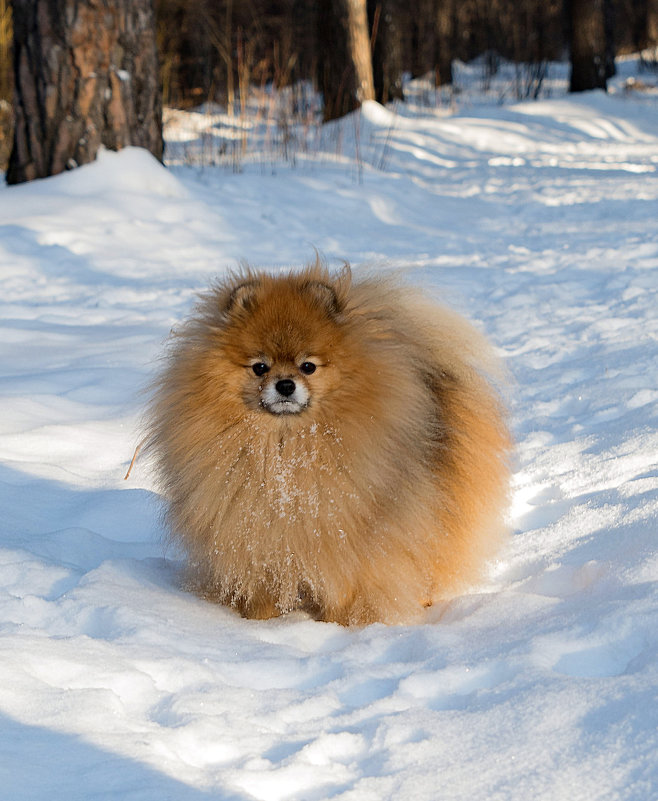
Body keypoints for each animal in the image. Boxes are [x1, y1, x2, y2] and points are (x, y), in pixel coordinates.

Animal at [146, 262, 510, 624]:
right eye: (259, 367)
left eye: (308, 366)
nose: (285, 384)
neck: (286, 448)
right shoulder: (254, 541)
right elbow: (261, 591)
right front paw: (262, 623)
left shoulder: (342, 542)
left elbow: (344, 590)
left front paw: (336, 626)